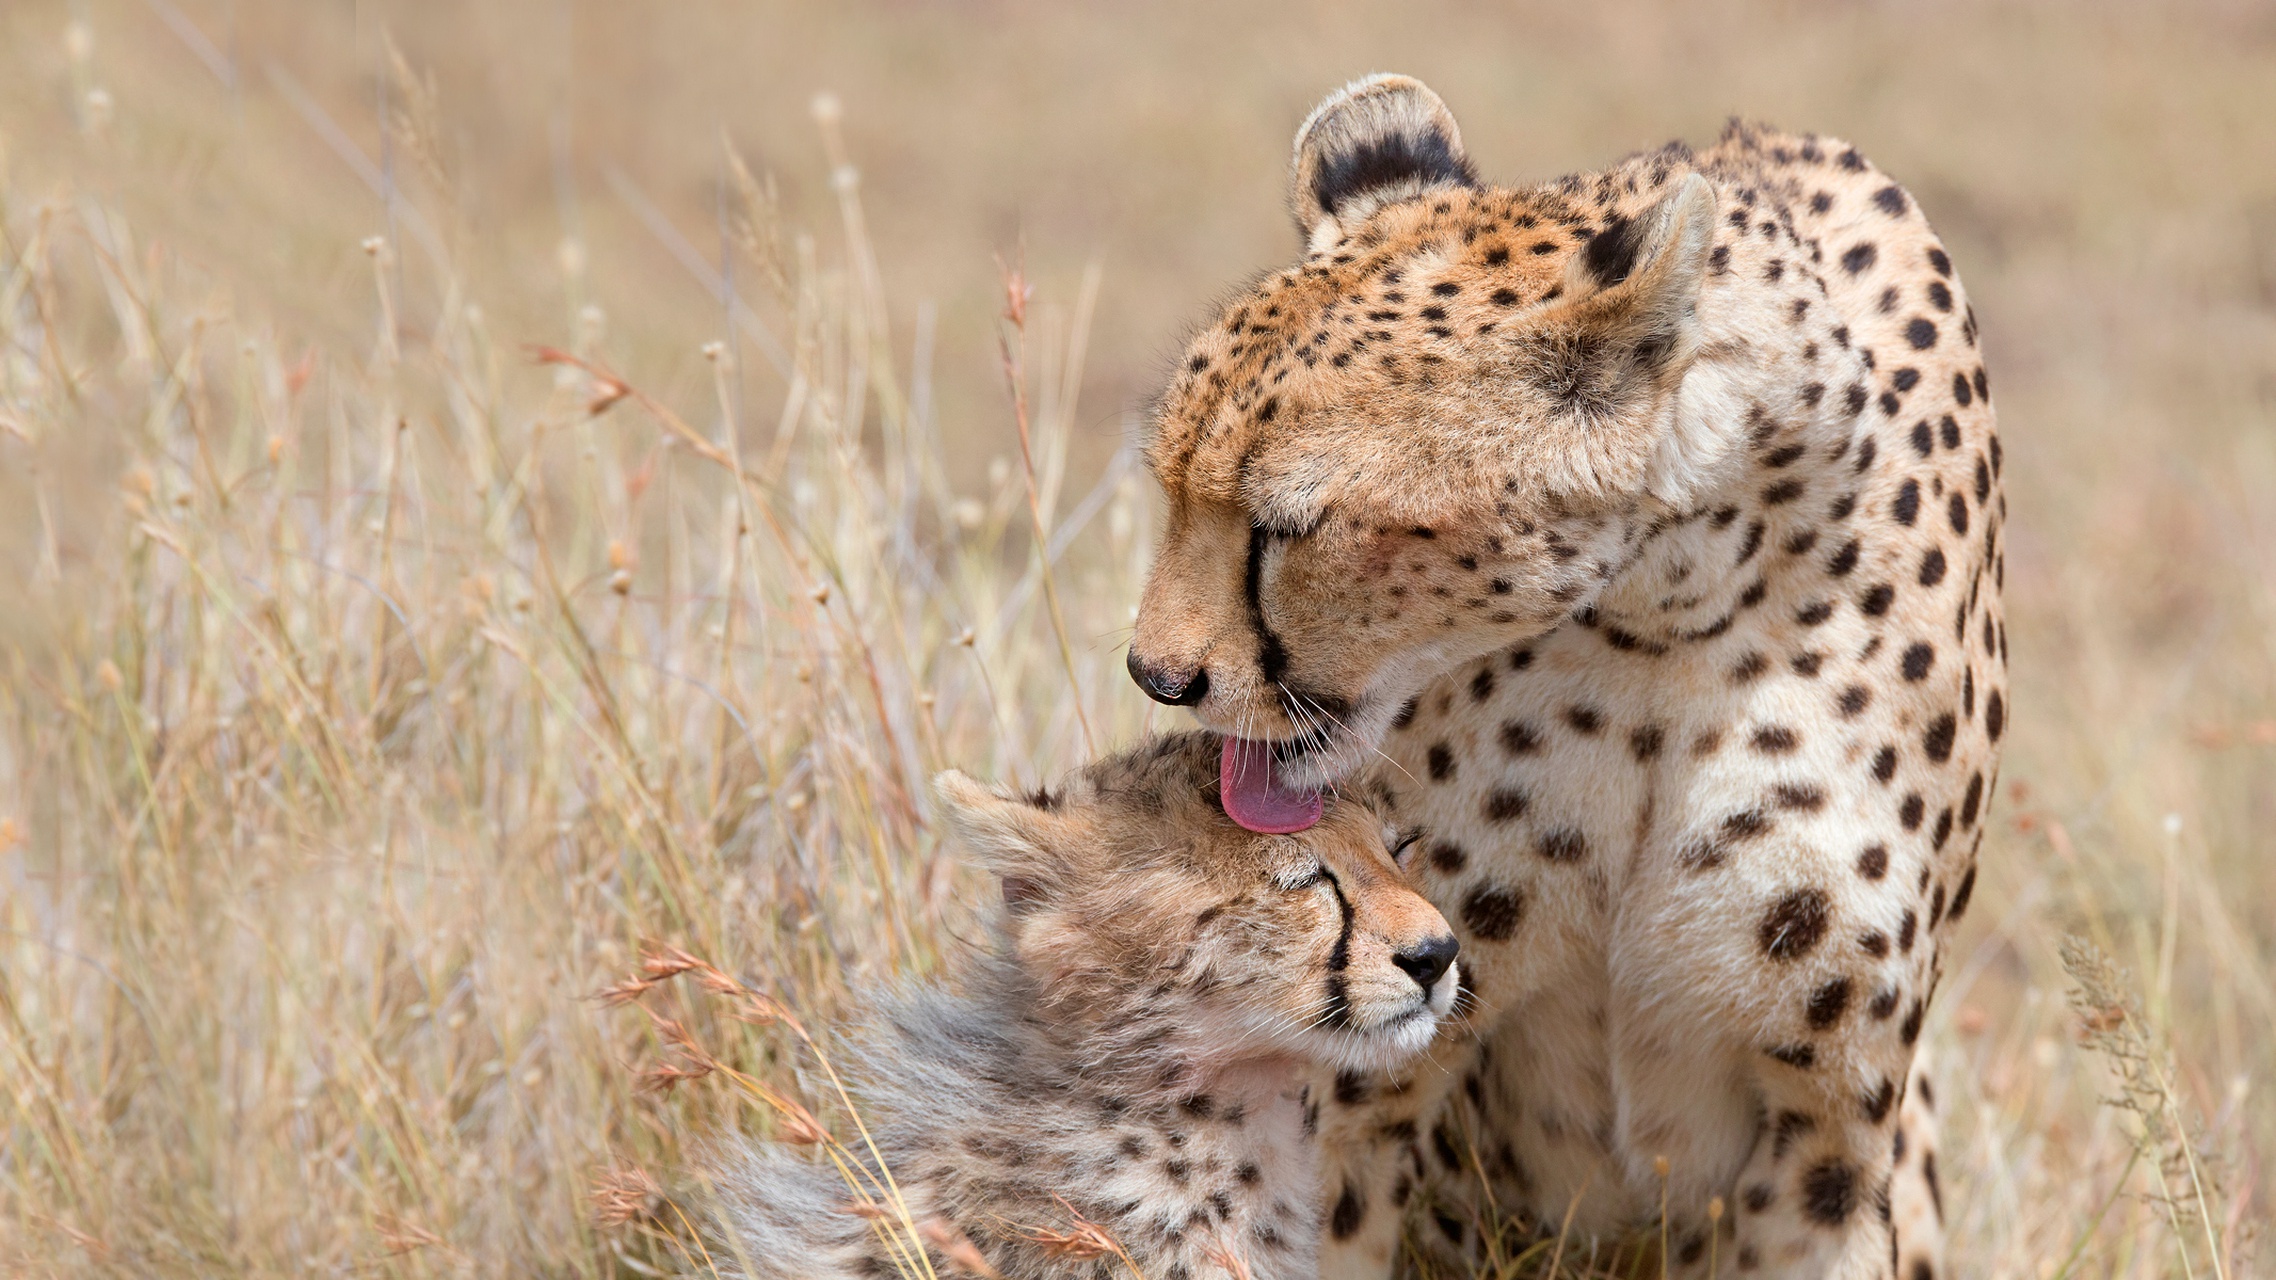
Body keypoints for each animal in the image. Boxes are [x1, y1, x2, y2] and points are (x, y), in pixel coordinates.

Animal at [1128, 74, 2002, 1266]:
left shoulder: (1828, 1129)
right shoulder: (1369, 1070)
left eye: (1288, 526)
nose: (1154, 674)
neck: (1663, 600)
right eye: (1170, 487)